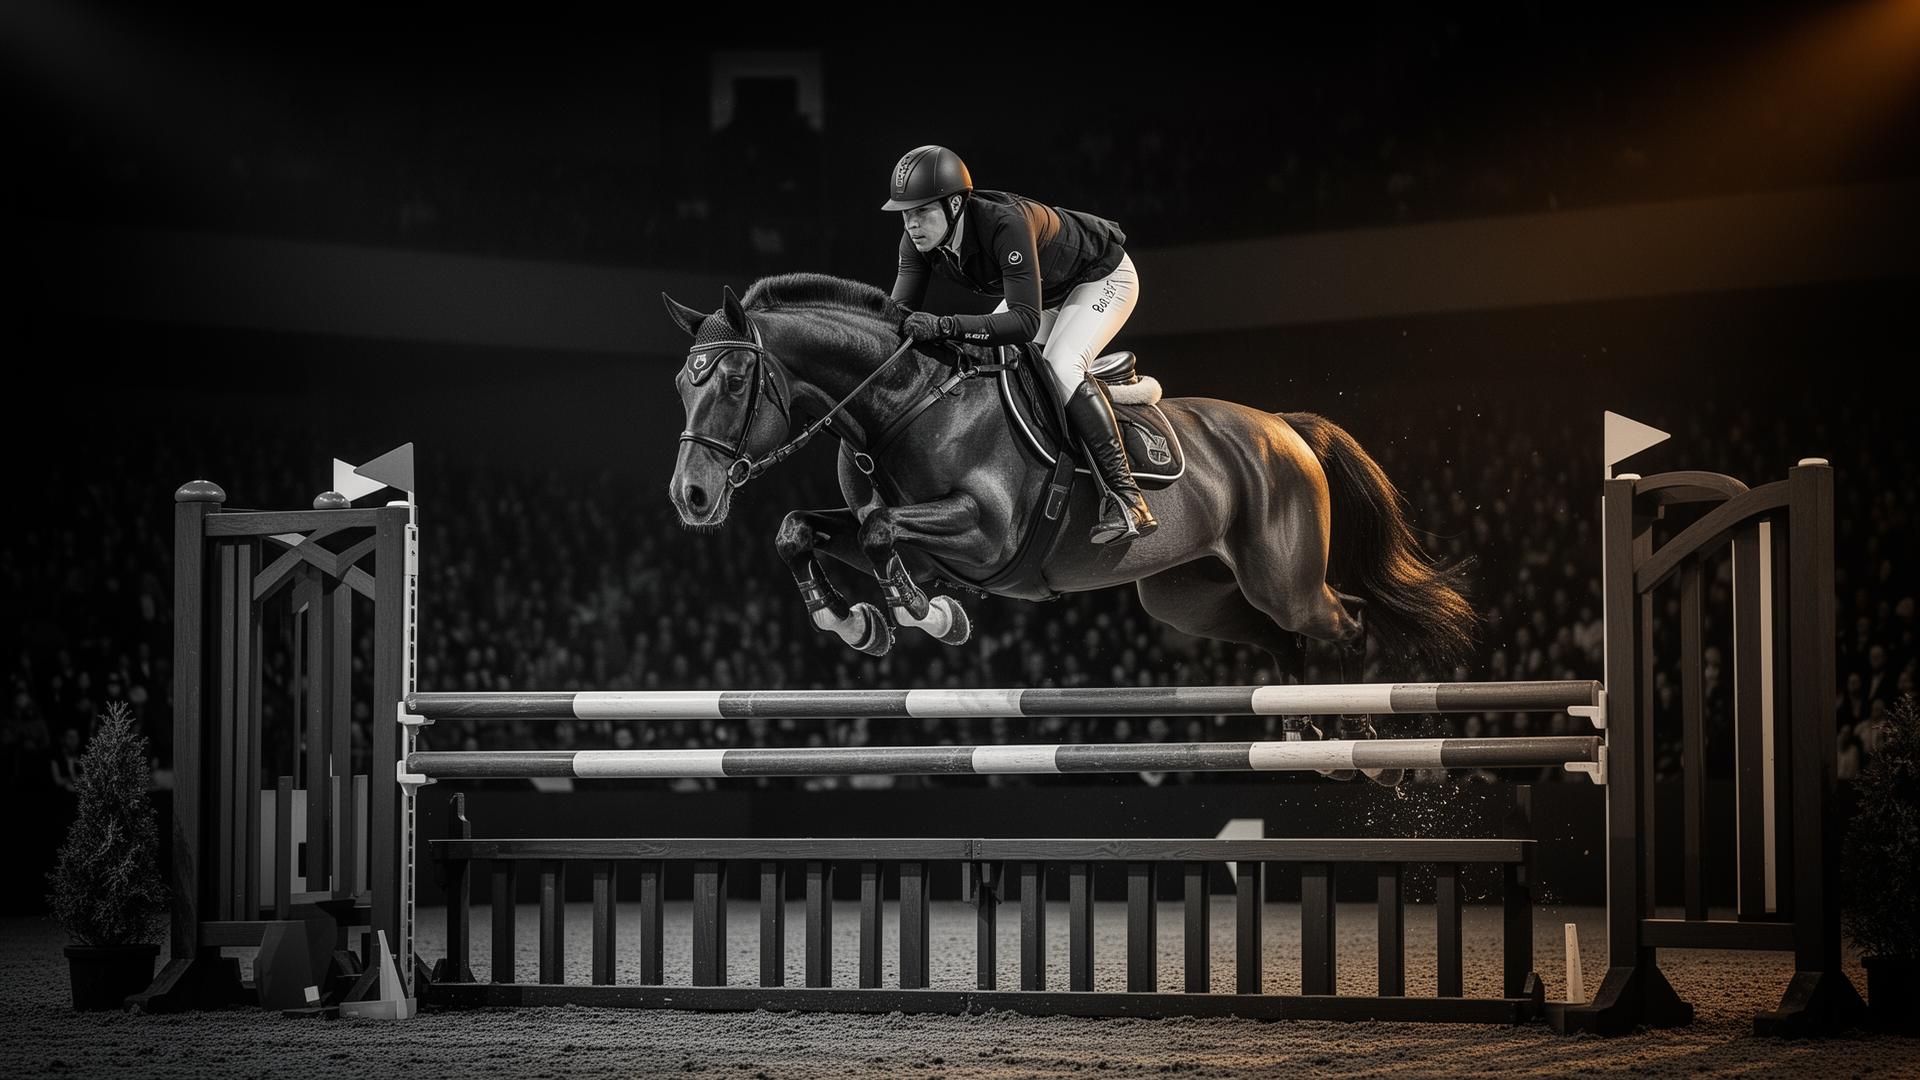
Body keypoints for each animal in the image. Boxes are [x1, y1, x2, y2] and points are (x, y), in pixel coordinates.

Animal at [664, 273, 1474, 692]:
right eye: (681, 383)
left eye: (732, 380)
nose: (691, 497)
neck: (901, 402)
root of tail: (1284, 428)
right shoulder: (920, 539)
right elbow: (804, 529)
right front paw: (854, 621)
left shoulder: (985, 534)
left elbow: (879, 528)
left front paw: (928, 615)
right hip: (1188, 597)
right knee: (1280, 639)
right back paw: (1311, 732)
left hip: (1285, 579)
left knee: (1345, 619)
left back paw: (1360, 737)